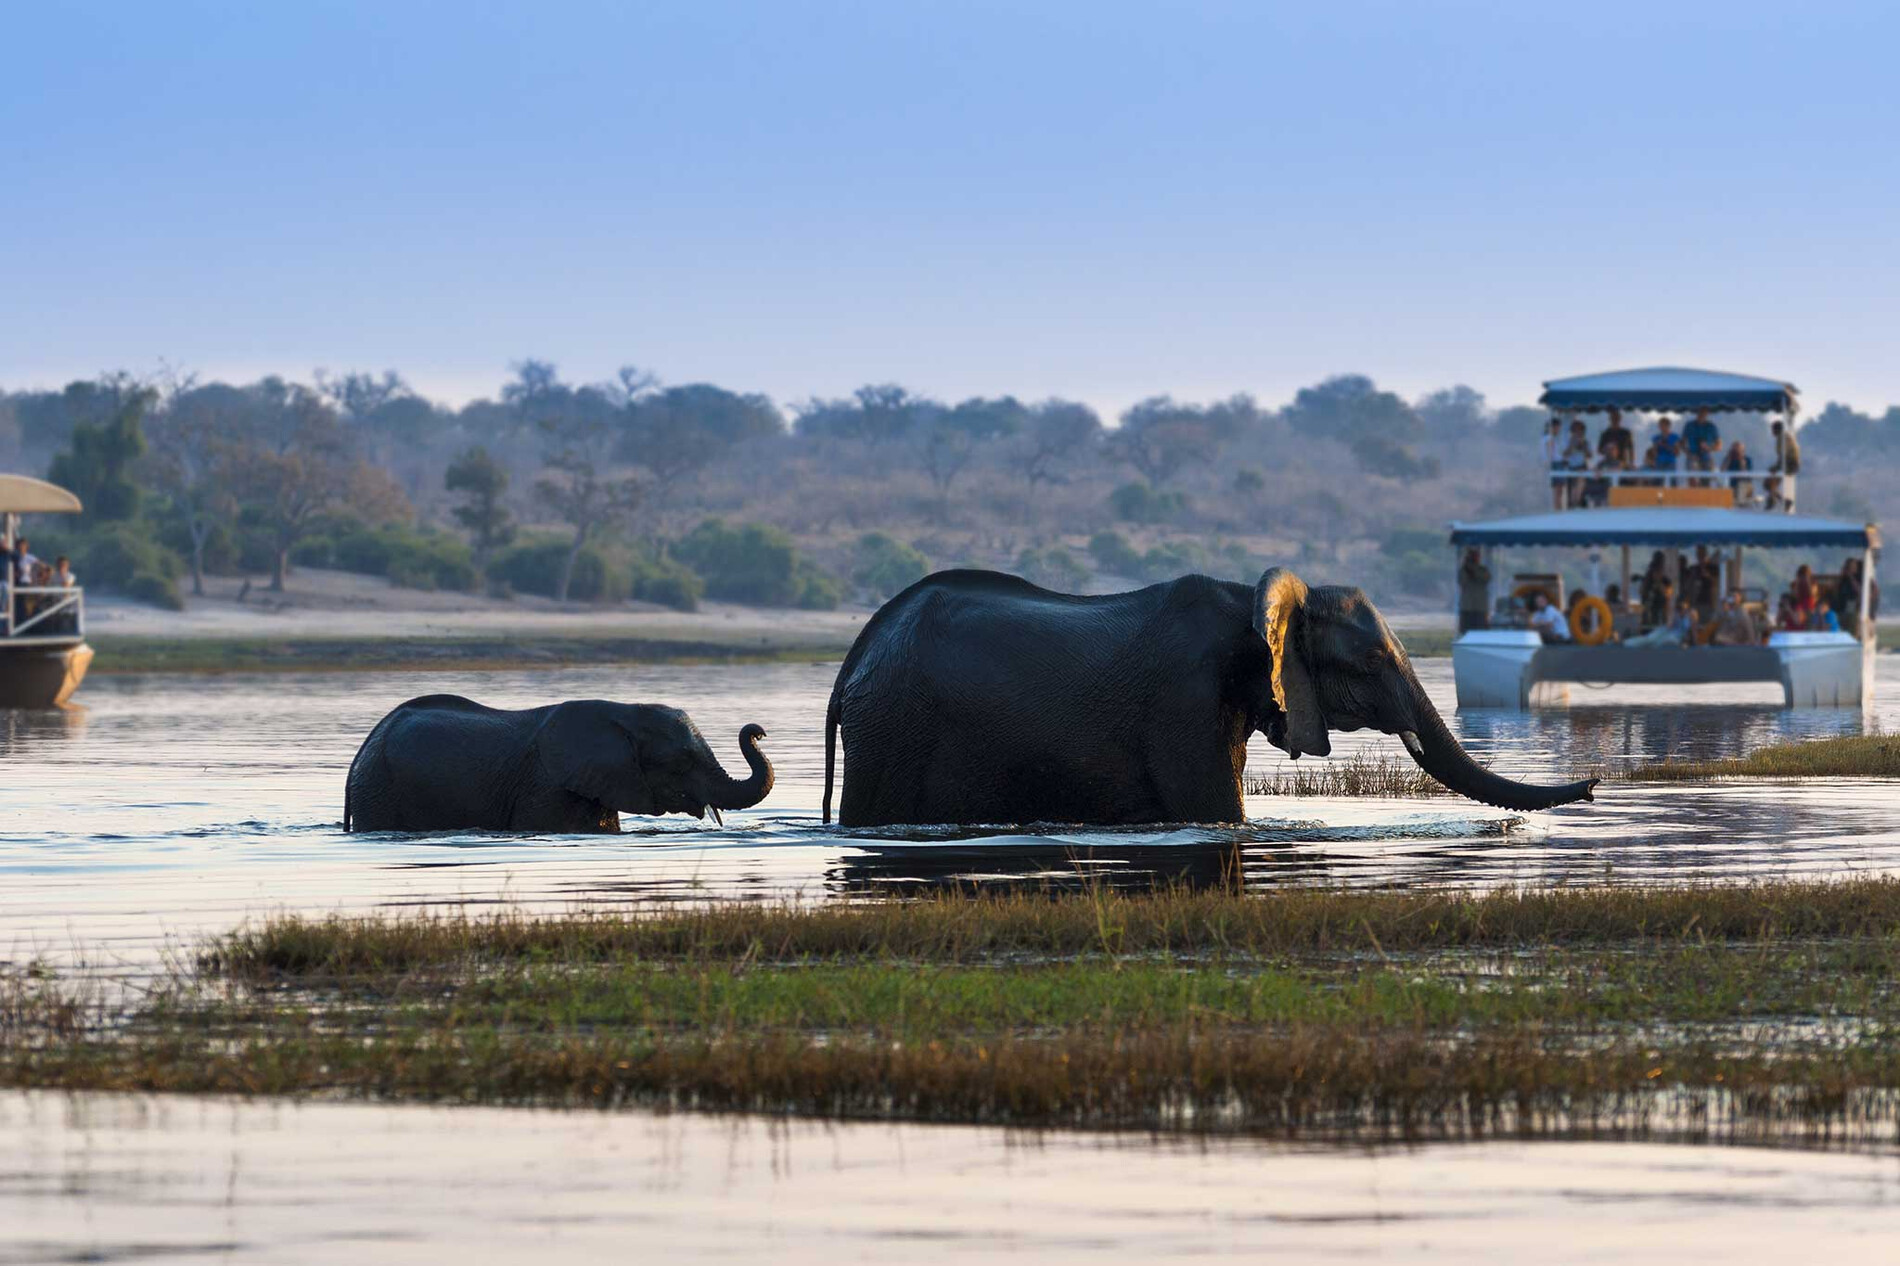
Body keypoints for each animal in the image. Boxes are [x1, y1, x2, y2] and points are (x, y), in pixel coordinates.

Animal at [822, 569, 1596, 827]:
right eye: (1374, 661)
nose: (1593, 785)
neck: (1252, 601)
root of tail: (858, 652)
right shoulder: (1182, 701)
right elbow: (1219, 813)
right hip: (894, 726)